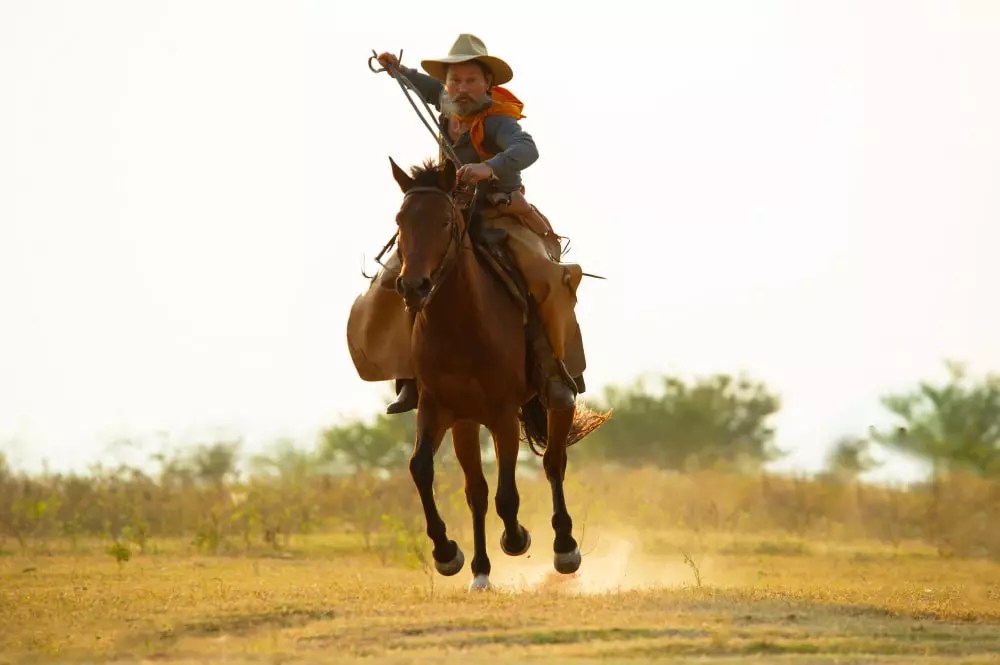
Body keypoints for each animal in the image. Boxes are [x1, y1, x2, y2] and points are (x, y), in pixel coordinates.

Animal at [386, 155, 606, 591]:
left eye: (445, 221)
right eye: (400, 220)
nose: (413, 286)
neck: (462, 325)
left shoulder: (503, 413)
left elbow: (508, 494)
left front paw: (517, 538)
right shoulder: (438, 410)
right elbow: (422, 469)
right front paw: (447, 553)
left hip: (555, 401)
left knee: (553, 462)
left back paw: (564, 548)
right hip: (466, 423)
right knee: (476, 489)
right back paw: (481, 571)